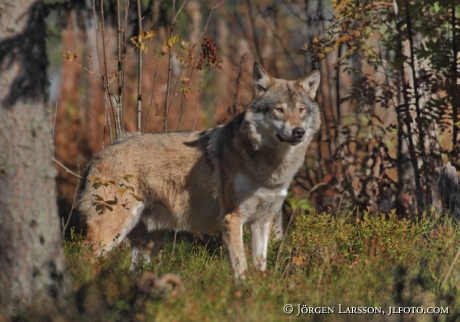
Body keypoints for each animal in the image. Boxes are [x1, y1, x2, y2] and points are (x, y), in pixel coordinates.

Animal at [77, 62, 322, 276]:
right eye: (279, 110)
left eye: (301, 110)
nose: (298, 131)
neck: (270, 169)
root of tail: (97, 155)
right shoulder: (232, 219)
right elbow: (241, 267)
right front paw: (243, 293)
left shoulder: (262, 221)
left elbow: (260, 267)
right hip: (110, 233)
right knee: (83, 260)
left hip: (148, 243)